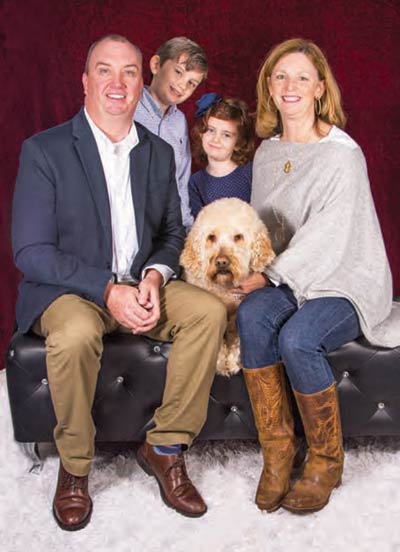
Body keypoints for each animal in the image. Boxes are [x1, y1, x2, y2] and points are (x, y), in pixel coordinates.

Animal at [180, 197, 274, 376]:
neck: (224, 286)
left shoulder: (238, 311)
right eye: (211, 237)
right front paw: (221, 362)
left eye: (238, 237)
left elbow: (237, 336)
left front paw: (232, 361)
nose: (222, 262)